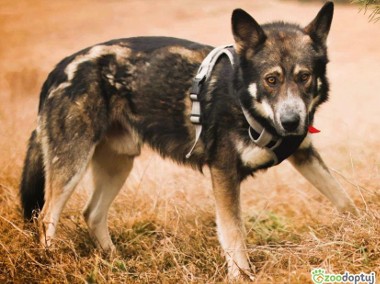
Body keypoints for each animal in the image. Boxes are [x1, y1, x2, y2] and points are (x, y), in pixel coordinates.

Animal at [20, 2, 360, 280]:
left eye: (304, 77)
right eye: (271, 80)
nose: (291, 122)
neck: (243, 98)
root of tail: (60, 67)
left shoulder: (304, 154)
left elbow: (345, 200)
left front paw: (363, 230)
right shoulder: (223, 172)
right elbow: (233, 231)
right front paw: (241, 275)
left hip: (119, 164)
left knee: (91, 214)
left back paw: (115, 261)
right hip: (72, 164)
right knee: (46, 217)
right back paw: (51, 263)